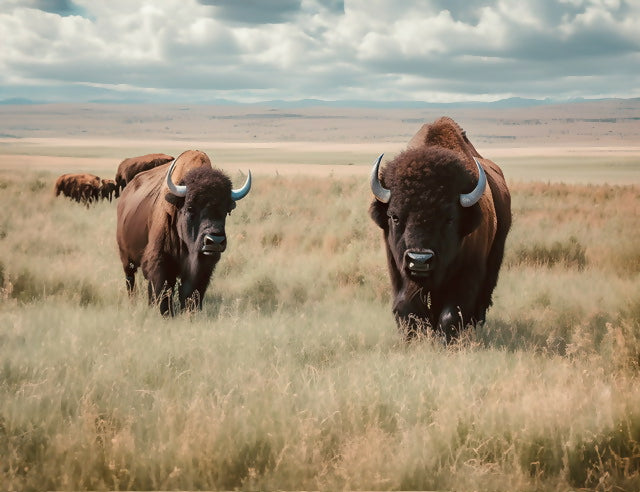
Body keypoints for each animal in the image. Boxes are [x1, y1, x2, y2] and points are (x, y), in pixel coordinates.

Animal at [116, 150, 251, 315]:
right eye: (190, 207)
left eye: (226, 210)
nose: (215, 242)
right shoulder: (161, 262)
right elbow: (163, 290)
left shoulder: (202, 268)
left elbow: (191, 293)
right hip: (126, 259)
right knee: (130, 280)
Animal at [369, 117, 511, 341]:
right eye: (394, 216)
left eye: (450, 219)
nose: (420, 260)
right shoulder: (399, 270)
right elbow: (406, 306)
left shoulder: (468, 272)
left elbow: (452, 312)